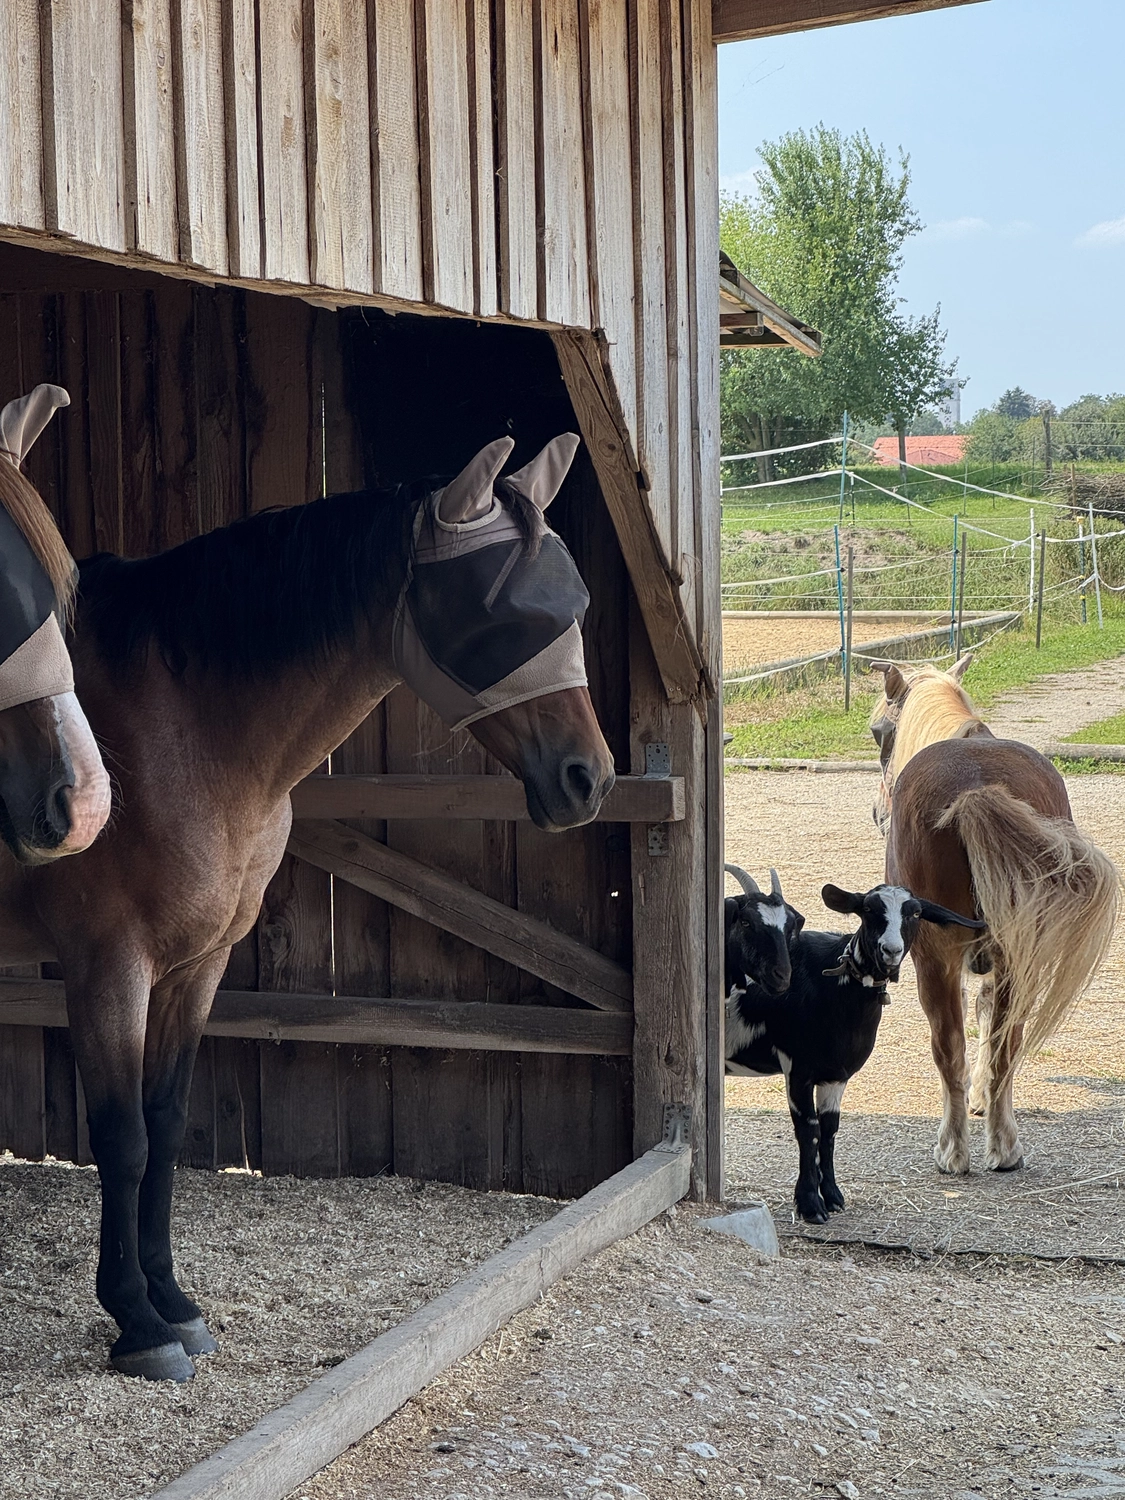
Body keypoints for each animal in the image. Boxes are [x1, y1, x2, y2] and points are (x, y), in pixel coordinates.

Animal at [0, 432, 615, 1382]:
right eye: (500, 617)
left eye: (575, 603)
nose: (588, 779)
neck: (175, 727)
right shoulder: (109, 969)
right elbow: (123, 1139)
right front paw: (136, 1322)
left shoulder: (198, 965)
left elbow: (165, 1125)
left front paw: (173, 1302)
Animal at [870, 656, 1119, 1177]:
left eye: (879, 731)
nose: (879, 812)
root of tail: (975, 790)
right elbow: (990, 1020)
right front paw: (985, 1097)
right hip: (1017, 954)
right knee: (1007, 1043)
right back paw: (1005, 1147)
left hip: (935, 957)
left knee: (948, 1046)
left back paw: (954, 1150)